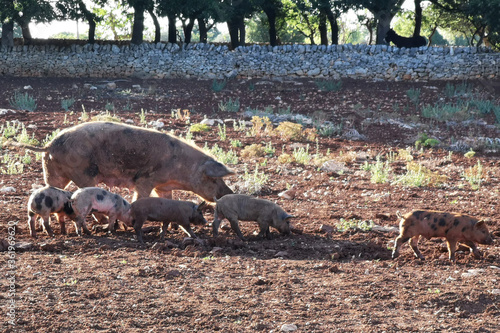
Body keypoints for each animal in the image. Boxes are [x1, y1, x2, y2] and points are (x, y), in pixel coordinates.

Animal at [11, 121, 234, 200]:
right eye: (214, 179)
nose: (229, 193)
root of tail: (49, 145)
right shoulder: (145, 179)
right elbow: (141, 196)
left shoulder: (163, 186)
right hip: (83, 172)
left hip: (53, 172)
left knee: (50, 188)